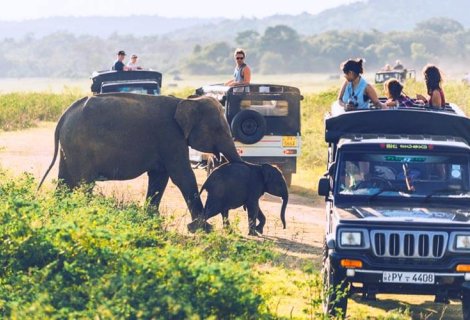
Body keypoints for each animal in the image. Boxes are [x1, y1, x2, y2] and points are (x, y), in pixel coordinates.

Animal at [38, 92, 241, 230]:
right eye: (218, 129)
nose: (227, 228)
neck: (187, 101)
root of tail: (64, 116)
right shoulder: (171, 136)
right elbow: (182, 176)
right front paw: (203, 229)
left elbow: (159, 177)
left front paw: (152, 221)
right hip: (80, 147)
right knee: (83, 183)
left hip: (69, 148)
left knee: (64, 181)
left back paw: (59, 214)